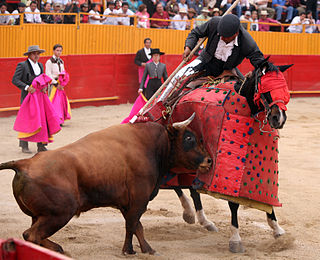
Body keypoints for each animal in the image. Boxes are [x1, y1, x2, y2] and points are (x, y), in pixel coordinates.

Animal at [0, 114, 212, 256]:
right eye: (189, 138)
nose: (209, 160)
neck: (152, 145)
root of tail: (24, 164)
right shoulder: (139, 199)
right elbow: (133, 224)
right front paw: (131, 250)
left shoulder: (126, 203)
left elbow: (136, 226)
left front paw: (145, 249)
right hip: (59, 214)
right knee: (31, 235)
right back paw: (57, 249)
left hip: (39, 215)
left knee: (31, 234)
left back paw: (57, 249)